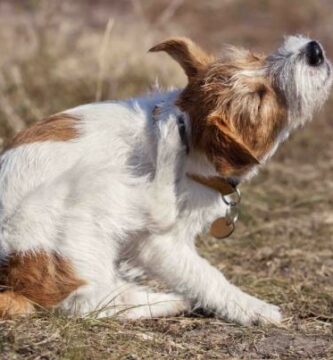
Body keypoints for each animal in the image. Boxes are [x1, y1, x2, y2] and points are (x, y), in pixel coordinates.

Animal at [0, 35, 330, 324]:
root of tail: (13, 280)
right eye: (260, 97)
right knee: (87, 302)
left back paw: (169, 299)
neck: (194, 144)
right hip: (93, 185)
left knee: (107, 298)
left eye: (256, 57)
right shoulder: (160, 245)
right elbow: (206, 275)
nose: (314, 50)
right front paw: (251, 308)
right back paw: (168, 136)